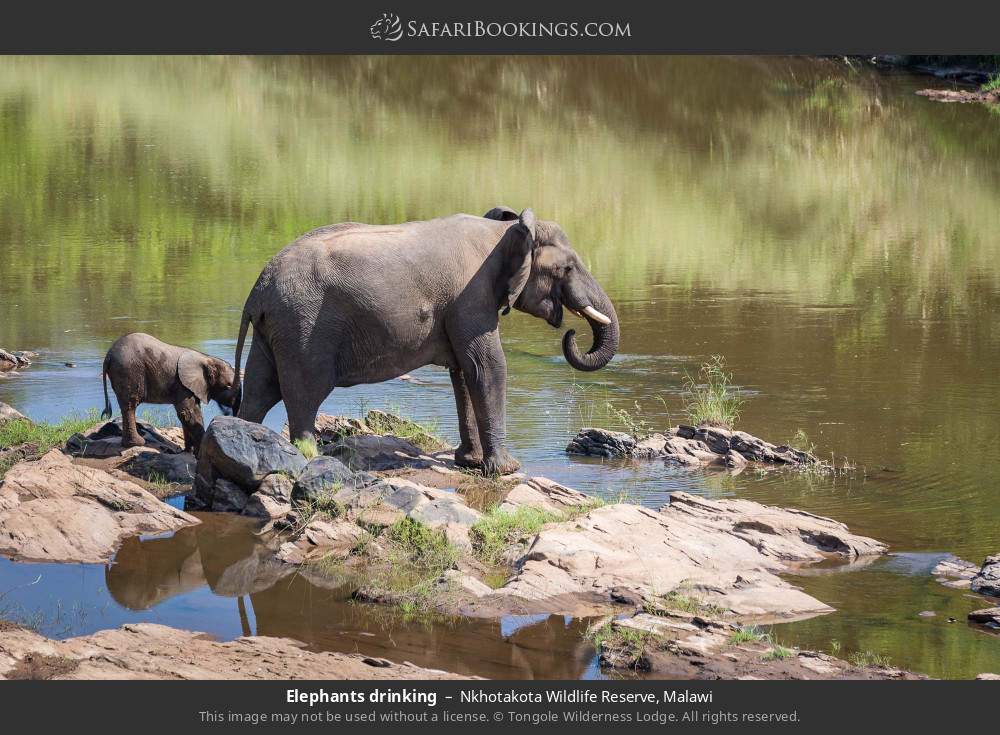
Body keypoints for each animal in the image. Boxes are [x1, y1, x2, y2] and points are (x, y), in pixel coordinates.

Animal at [101, 332, 240, 455]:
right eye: (228, 386)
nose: (227, 412)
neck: (207, 358)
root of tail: (108, 355)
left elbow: (186, 415)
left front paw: (188, 451)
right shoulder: (182, 385)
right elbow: (188, 413)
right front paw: (198, 453)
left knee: (126, 406)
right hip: (129, 371)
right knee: (130, 405)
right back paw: (137, 443)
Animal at [233, 207, 619, 475]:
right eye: (567, 268)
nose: (571, 333)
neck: (503, 231)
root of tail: (257, 290)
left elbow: (464, 371)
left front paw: (470, 462)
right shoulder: (471, 297)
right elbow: (487, 366)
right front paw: (507, 469)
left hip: (276, 329)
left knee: (258, 392)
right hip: (304, 327)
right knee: (304, 392)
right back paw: (312, 457)